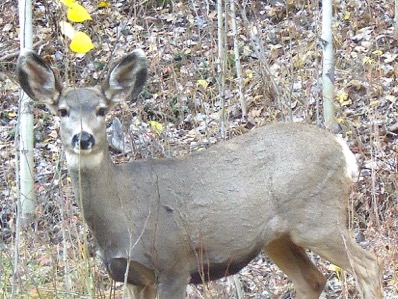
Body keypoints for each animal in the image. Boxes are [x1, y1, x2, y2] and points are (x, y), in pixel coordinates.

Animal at [16, 48, 382, 298]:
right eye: (62, 111)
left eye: (102, 110)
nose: (83, 138)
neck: (122, 214)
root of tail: (343, 150)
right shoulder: (131, 277)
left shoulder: (173, 264)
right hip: (278, 238)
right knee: (314, 279)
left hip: (317, 219)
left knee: (369, 266)